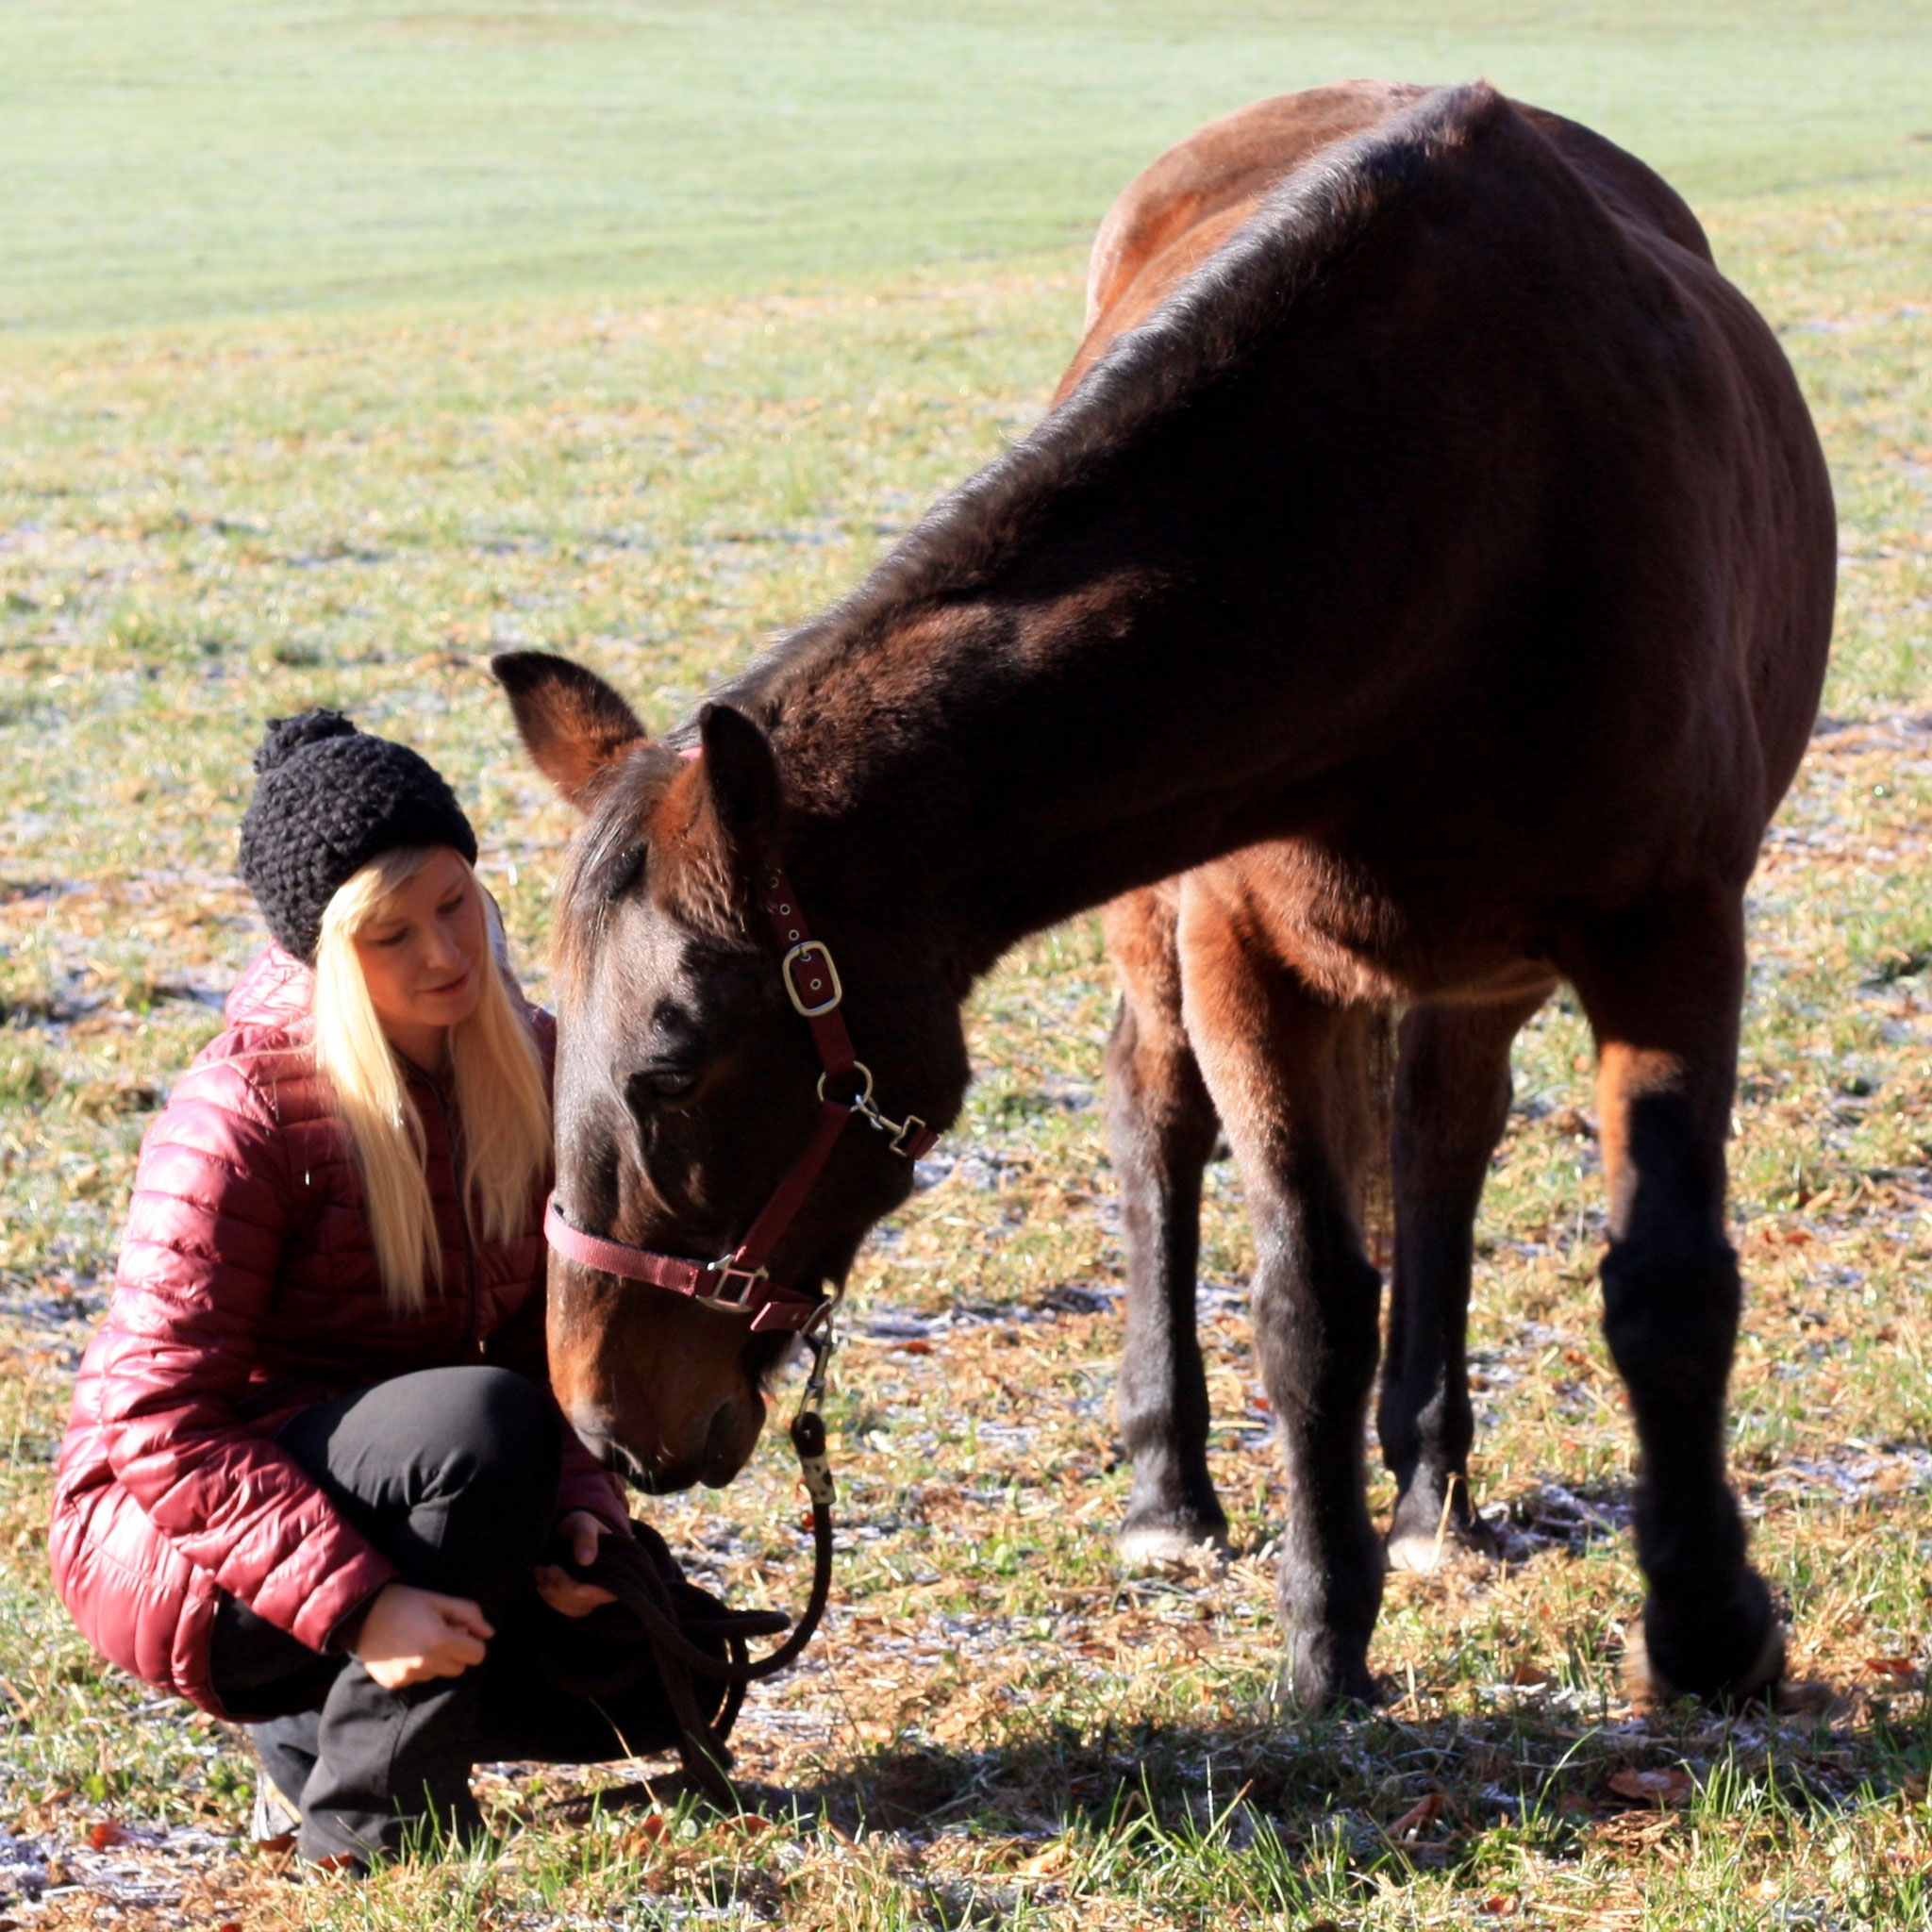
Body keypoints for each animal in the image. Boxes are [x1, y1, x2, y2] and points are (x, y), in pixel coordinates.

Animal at [494, 78, 1824, 1707]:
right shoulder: (1242, 949)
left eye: (672, 1073)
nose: (599, 1409)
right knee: (1158, 1117)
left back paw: (1432, 1489)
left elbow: (1666, 1287)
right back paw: (1172, 1490)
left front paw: (1707, 1626)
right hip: (1181, 938)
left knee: (1443, 1140)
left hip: (1476, 968)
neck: (1437, 520)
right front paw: (1322, 1639)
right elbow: (1306, 1306)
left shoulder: (1670, 934)